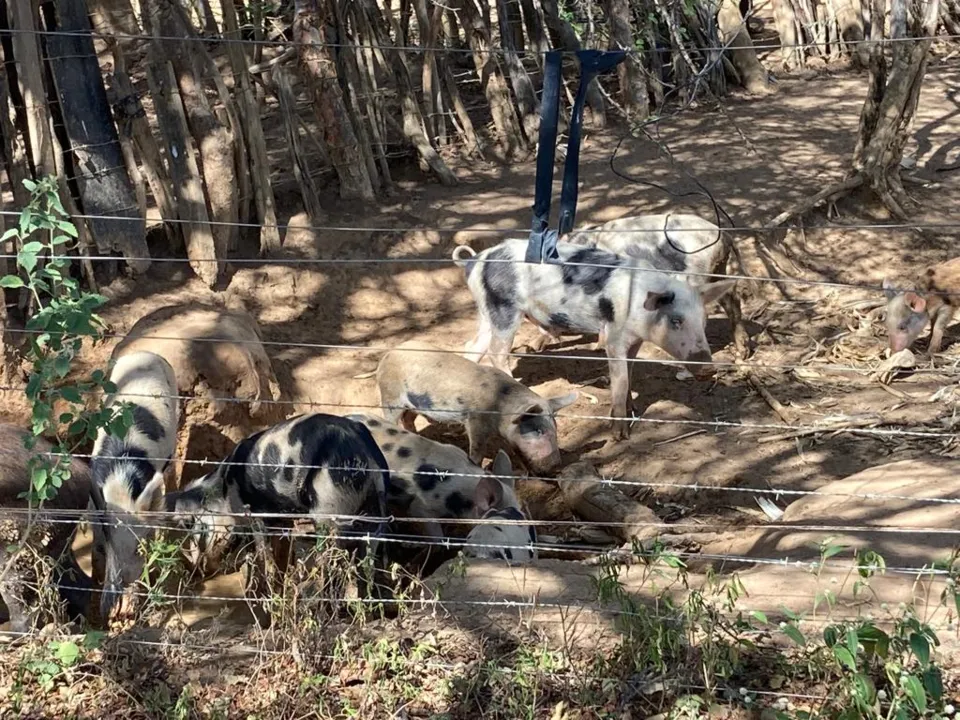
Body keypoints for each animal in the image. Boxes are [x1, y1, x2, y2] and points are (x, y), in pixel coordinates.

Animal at [376, 342, 572, 476]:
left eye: (556, 429)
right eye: (538, 431)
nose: (557, 466)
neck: (500, 405)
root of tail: (388, 354)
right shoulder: (475, 421)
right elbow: (477, 451)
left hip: (412, 405)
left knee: (408, 419)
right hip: (390, 396)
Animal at [450, 239, 736, 438]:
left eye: (703, 321)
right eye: (676, 320)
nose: (707, 369)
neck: (637, 306)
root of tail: (475, 260)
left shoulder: (635, 340)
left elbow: (630, 372)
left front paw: (632, 410)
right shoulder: (613, 335)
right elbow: (620, 380)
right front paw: (620, 435)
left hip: (486, 310)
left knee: (472, 347)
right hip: (504, 308)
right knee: (497, 352)